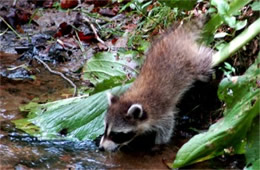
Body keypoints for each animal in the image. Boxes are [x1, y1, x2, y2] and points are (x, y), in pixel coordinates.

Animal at [98, 20, 212, 152]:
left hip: (190, 63)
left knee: (203, 63)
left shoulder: (160, 112)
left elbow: (168, 125)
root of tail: (177, 37)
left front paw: (158, 145)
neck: (132, 99)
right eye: (105, 129)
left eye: (116, 134)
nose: (101, 148)